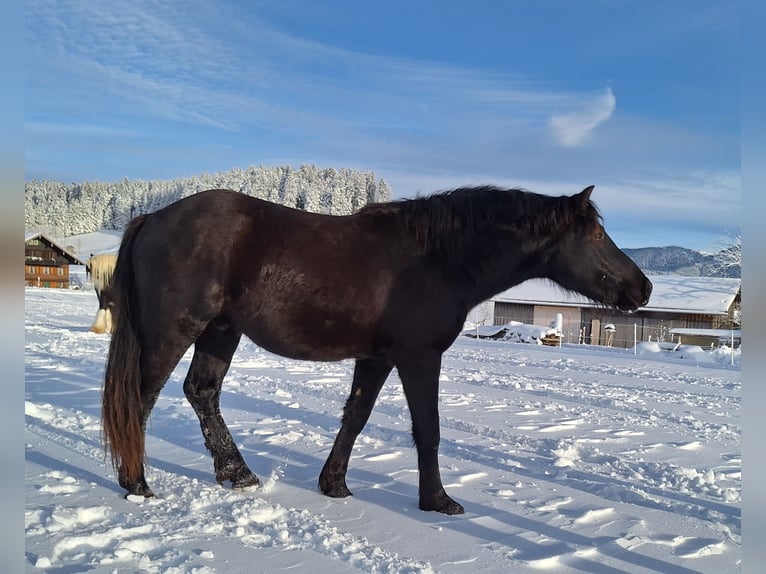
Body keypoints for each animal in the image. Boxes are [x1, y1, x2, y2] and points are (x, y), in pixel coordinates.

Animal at [102, 186, 656, 516]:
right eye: (597, 234)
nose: (643, 288)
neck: (438, 259)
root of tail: (153, 217)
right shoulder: (418, 357)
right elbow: (428, 429)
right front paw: (437, 500)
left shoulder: (377, 357)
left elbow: (356, 418)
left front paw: (334, 485)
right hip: (173, 332)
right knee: (139, 400)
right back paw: (137, 484)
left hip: (220, 331)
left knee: (202, 392)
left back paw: (237, 474)